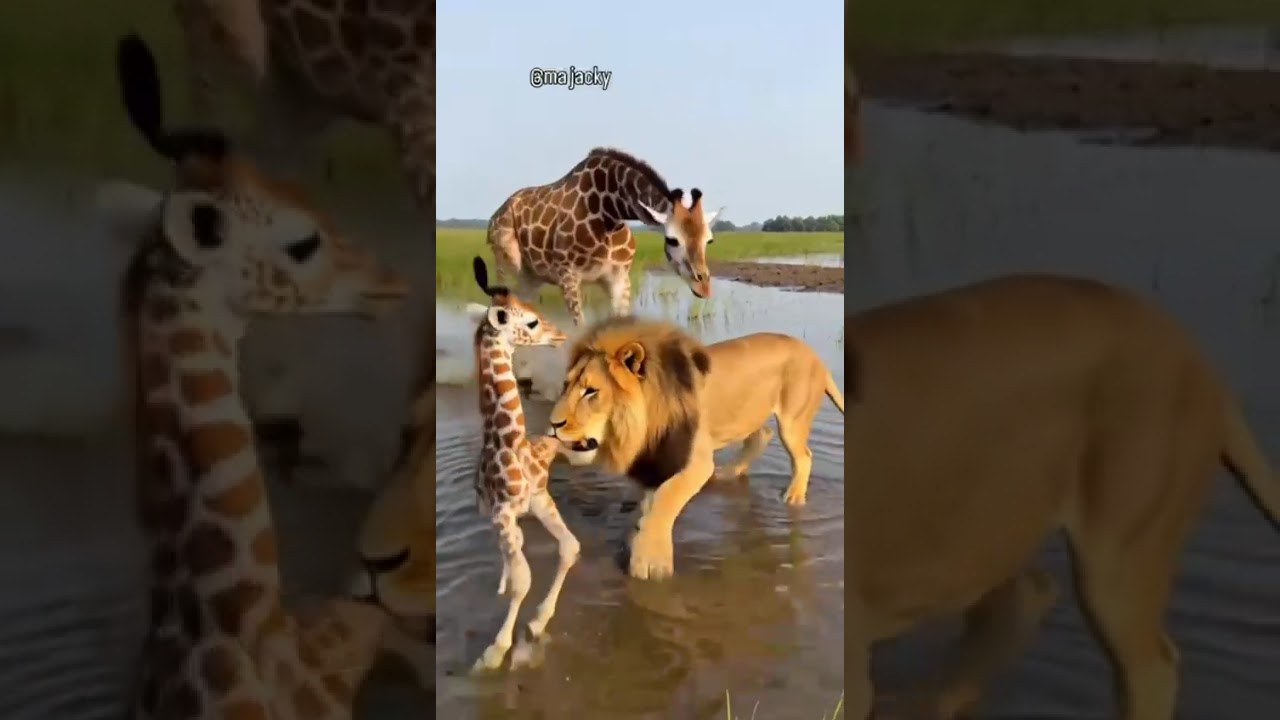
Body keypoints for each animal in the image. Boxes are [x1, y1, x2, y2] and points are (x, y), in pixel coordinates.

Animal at [464, 257, 582, 672]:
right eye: (530, 322)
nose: (560, 335)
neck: (512, 443)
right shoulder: (502, 511)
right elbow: (523, 579)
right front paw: (493, 653)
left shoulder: (539, 499)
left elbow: (569, 548)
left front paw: (535, 624)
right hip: (495, 514)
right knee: (510, 555)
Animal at [487, 147, 725, 327]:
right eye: (672, 240)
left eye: (709, 240)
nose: (704, 288)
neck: (610, 212)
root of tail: (494, 216)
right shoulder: (568, 277)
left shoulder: (619, 278)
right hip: (506, 264)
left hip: (531, 276)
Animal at [546, 316, 844, 581]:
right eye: (565, 385)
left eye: (591, 391)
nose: (553, 424)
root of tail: (815, 356)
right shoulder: (660, 460)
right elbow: (650, 502)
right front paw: (634, 534)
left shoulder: (697, 462)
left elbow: (666, 500)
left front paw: (649, 561)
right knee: (762, 435)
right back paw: (729, 474)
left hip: (792, 421)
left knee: (803, 456)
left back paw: (793, 496)